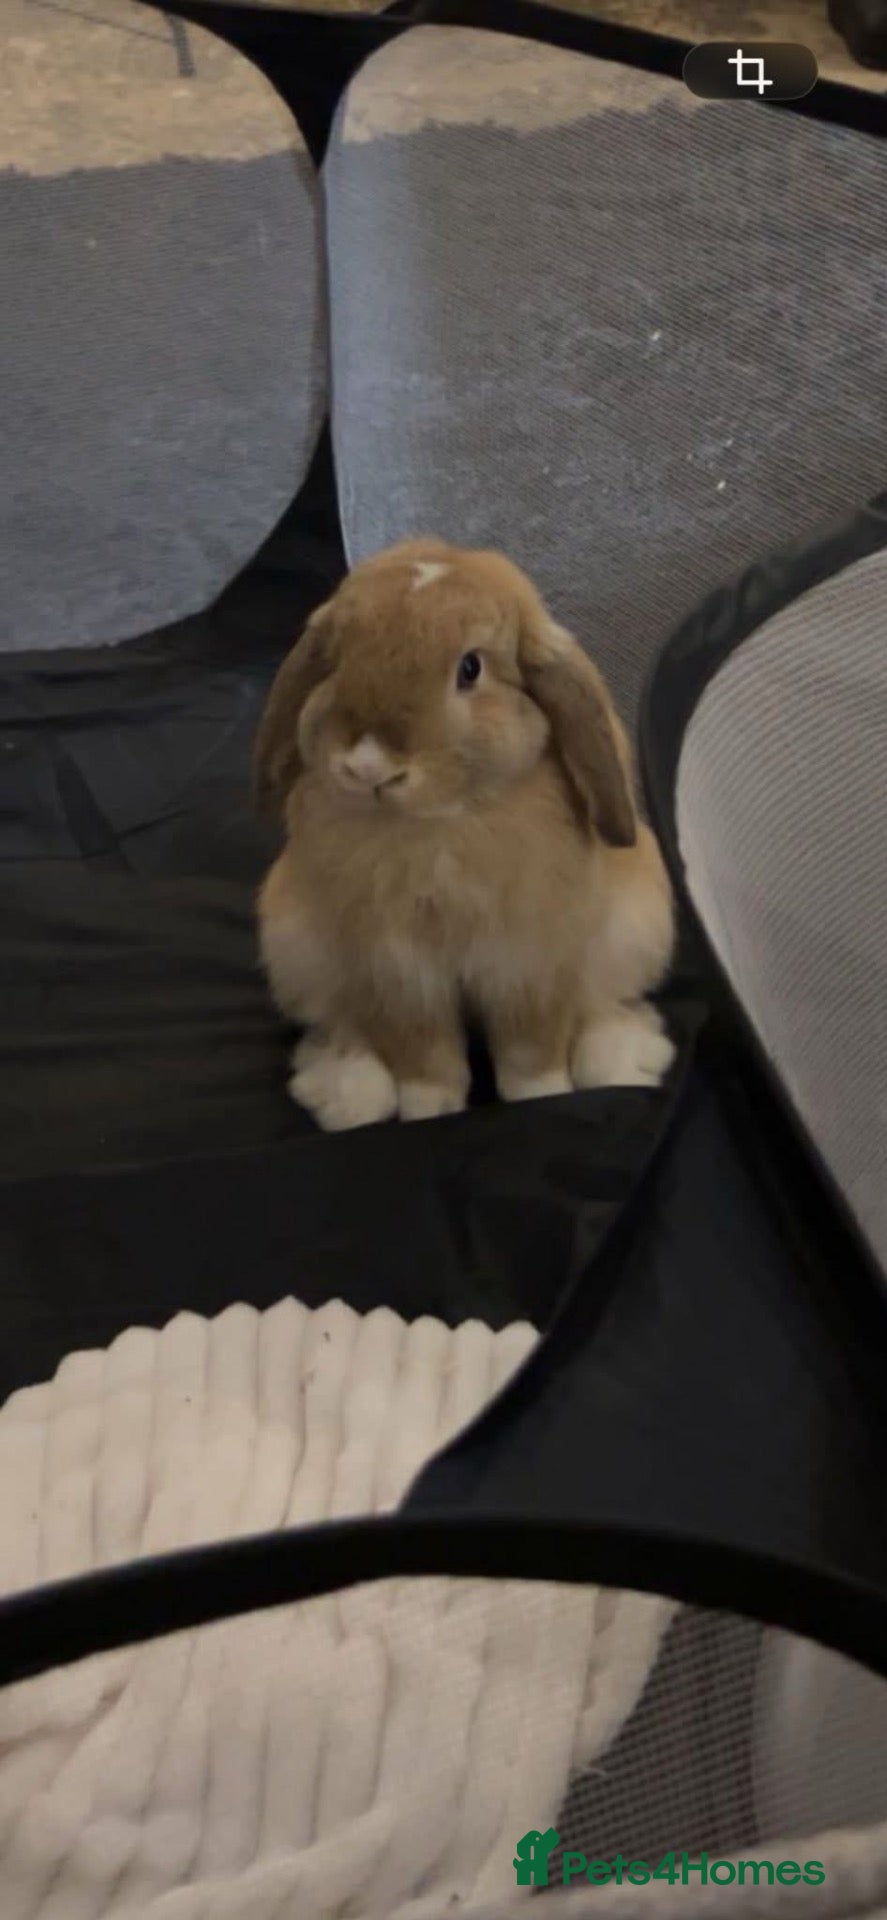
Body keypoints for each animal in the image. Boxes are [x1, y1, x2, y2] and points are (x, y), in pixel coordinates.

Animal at [255, 538, 676, 1132]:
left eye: (470, 668)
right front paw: (427, 1115)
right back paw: (348, 1097)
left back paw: (622, 1062)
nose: (367, 766)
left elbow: (530, 1058)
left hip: (638, 926)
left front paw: (545, 1102)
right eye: (335, 661)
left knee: (605, 1004)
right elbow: (425, 1064)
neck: (442, 826)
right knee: (342, 1027)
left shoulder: (529, 966)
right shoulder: (397, 977)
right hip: (293, 945)